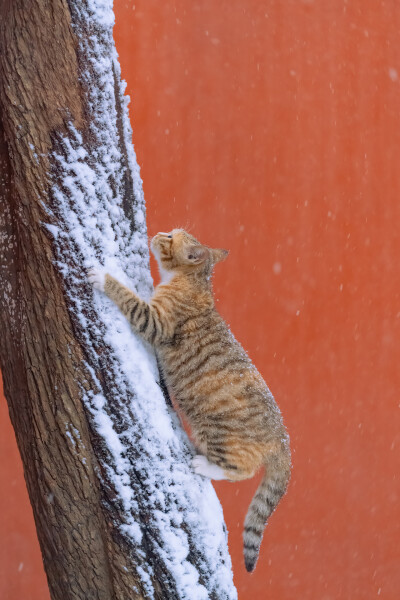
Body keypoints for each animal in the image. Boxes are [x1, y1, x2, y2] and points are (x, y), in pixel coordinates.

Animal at [88, 230, 290, 572]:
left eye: (171, 237)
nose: (160, 233)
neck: (196, 281)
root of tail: (282, 437)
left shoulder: (155, 320)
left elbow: (128, 297)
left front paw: (103, 277)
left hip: (219, 435)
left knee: (241, 471)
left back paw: (204, 465)